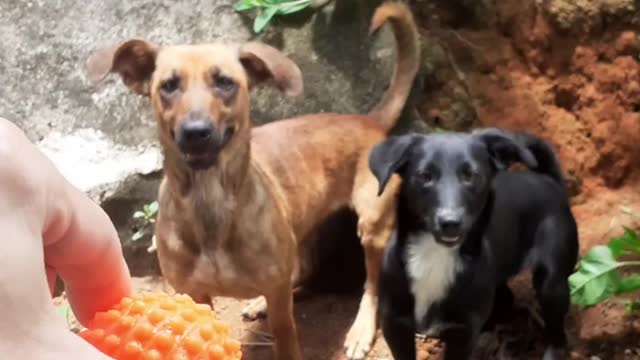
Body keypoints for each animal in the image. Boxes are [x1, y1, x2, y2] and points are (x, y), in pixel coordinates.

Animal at [87, 2, 422, 360]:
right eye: (169, 85)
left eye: (224, 82)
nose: (196, 132)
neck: (211, 203)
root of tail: (367, 120)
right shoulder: (194, 294)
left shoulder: (280, 306)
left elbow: (285, 334)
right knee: (303, 269)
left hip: (372, 227)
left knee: (370, 284)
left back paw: (360, 330)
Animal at [368, 129, 576, 360]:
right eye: (425, 176)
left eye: (470, 175)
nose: (450, 223)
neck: (435, 254)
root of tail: (548, 180)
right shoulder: (395, 325)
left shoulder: (462, 332)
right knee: (506, 299)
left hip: (552, 282)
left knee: (558, 337)